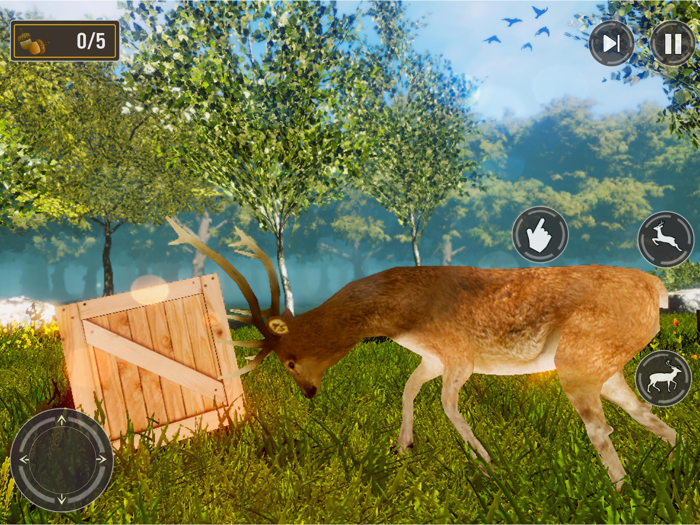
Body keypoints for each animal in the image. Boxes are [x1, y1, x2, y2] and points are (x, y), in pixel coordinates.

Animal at [165, 217, 682, 494]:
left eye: (290, 359)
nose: (309, 392)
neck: (399, 317)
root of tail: (657, 288)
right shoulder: (433, 358)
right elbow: (409, 390)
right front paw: (402, 447)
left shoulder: (459, 355)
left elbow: (448, 405)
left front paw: (485, 462)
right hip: (608, 367)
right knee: (654, 421)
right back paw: (669, 471)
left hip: (580, 359)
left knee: (601, 428)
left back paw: (617, 490)